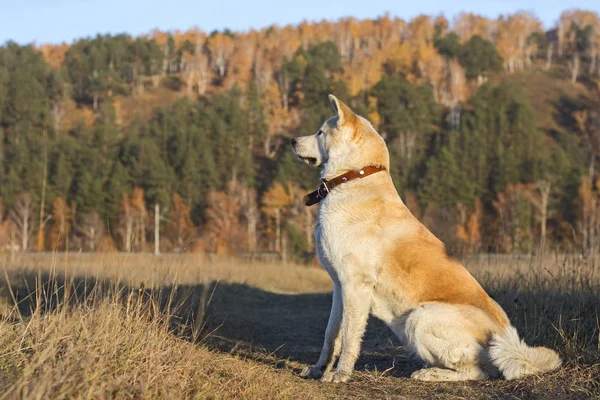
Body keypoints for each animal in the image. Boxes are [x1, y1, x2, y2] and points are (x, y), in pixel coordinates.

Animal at [290, 95, 564, 382]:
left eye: (320, 132)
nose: (292, 141)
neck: (353, 178)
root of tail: (509, 342)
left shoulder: (355, 286)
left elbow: (350, 337)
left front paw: (340, 374)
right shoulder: (339, 287)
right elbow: (331, 335)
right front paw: (319, 370)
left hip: (419, 318)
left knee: (480, 371)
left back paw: (430, 373)